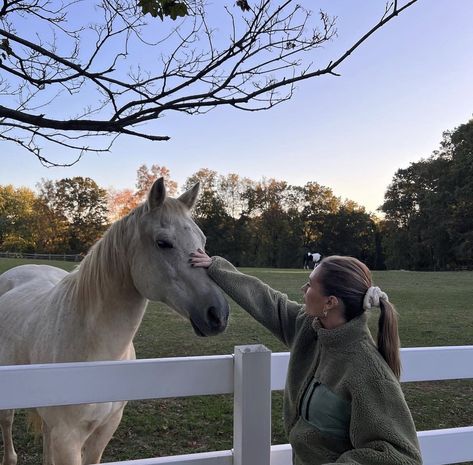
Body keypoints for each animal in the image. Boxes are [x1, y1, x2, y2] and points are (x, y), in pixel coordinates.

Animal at [0, 178, 229, 464]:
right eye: (163, 243)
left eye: (203, 240)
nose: (218, 314)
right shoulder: (68, 438)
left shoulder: (106, 429)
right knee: (7, 426)